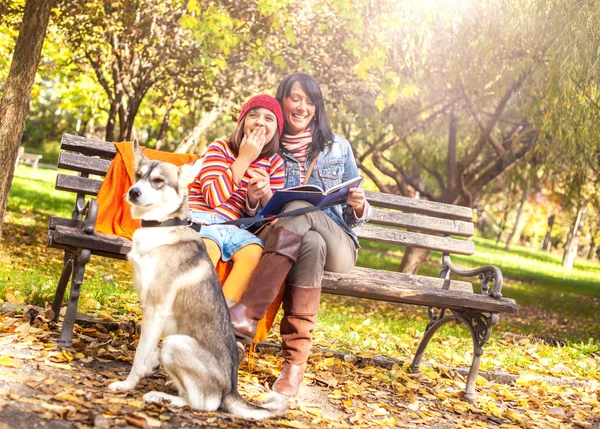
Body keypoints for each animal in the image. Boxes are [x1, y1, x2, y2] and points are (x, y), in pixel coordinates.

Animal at [109, 140, 288, 418]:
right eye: (138, 176)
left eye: (158, 181)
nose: (133, 192)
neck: (162, 227)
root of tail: (231, 389)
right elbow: (147, 351)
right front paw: (150, 365)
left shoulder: (156, 309)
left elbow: (139, 355)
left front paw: (127, 384)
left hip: (175, 344)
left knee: (205, 403)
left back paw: (163, 397)